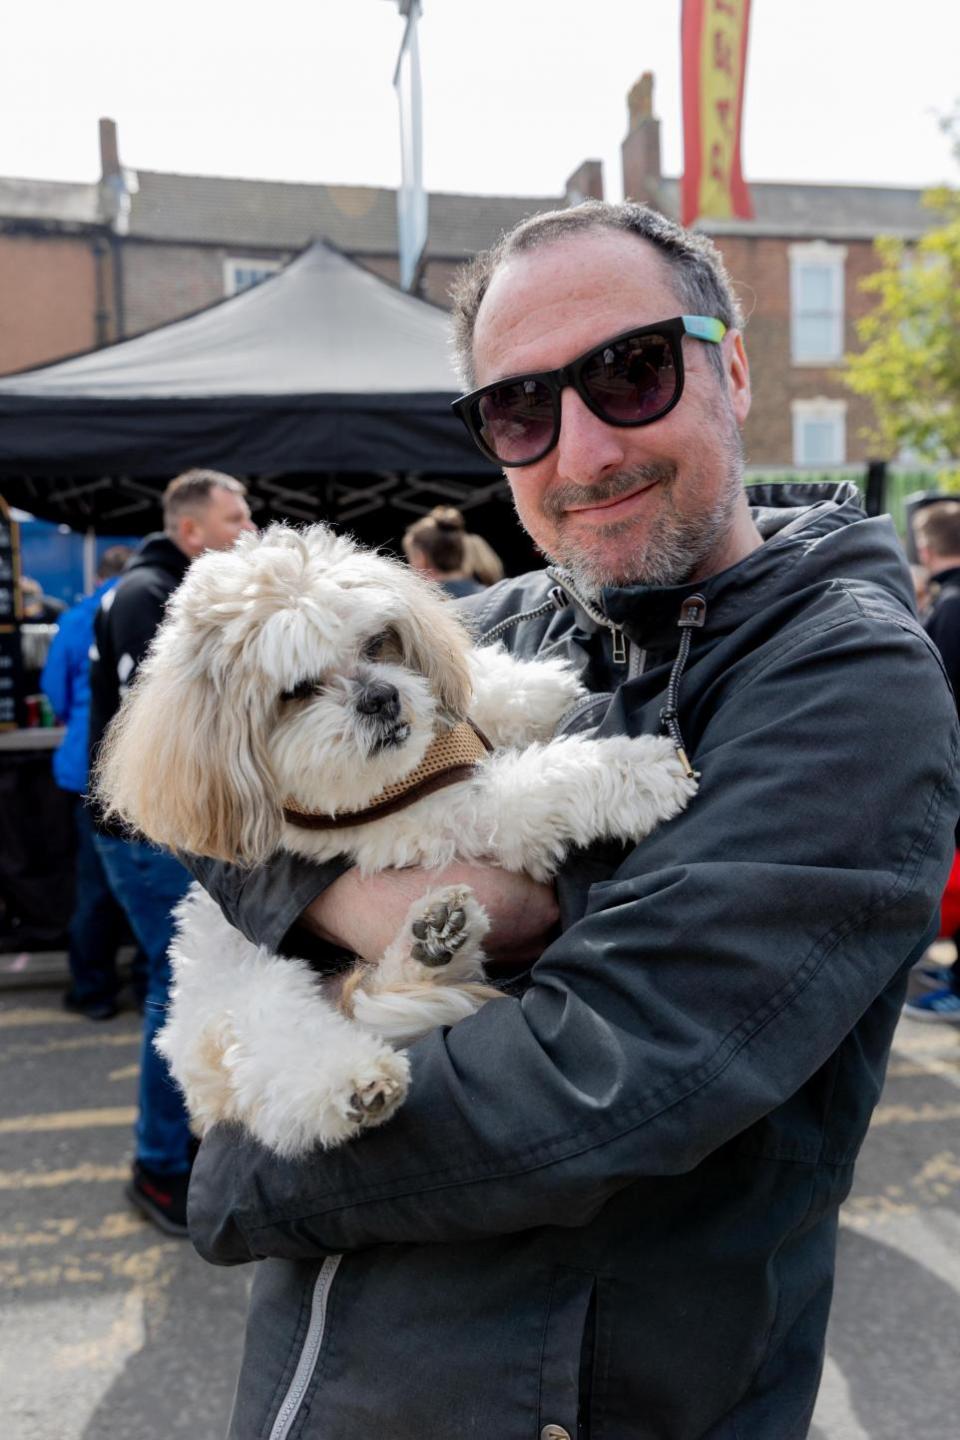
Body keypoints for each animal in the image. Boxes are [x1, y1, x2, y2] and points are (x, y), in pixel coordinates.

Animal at [99, 527, 699, 1157]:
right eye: (296, 690)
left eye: (377, 642)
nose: (380, 697)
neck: (407, 774)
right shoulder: (425, 826)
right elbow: (521, 792)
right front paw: (635, 772)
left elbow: (480, 692)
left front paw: (538, 688)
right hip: (251, 1006)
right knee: (282, 1066)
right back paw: (356, 1082)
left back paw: (436, 943)